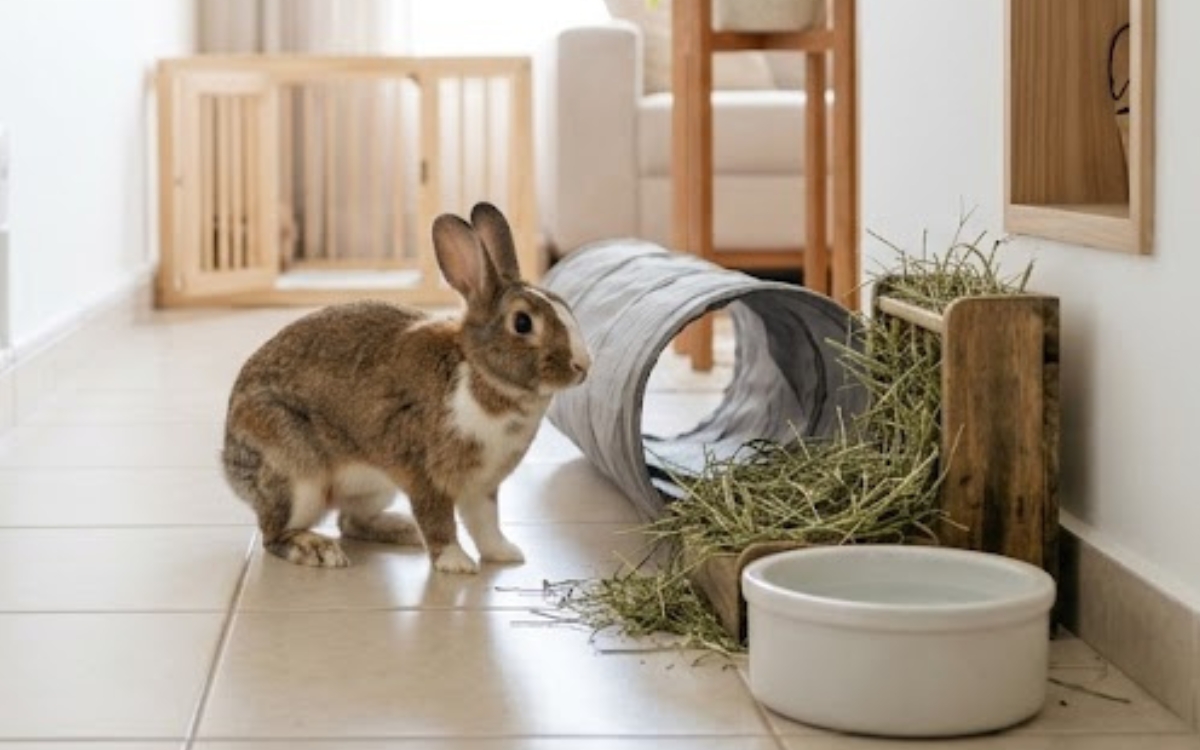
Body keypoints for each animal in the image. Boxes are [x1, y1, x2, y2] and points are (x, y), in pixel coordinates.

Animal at [221, 202, 591, 572]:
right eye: (523, 323)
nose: (583, 366)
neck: (480, 373)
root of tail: (228, 462)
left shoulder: (481, 486)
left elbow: (485, 524)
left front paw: (506, 554)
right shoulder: (423, 473)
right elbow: (439, 520)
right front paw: (456, 563)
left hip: (375, 487)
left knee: (350, 521)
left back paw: (403, 529)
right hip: (299, 477)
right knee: (274, 534)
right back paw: (316, 549)